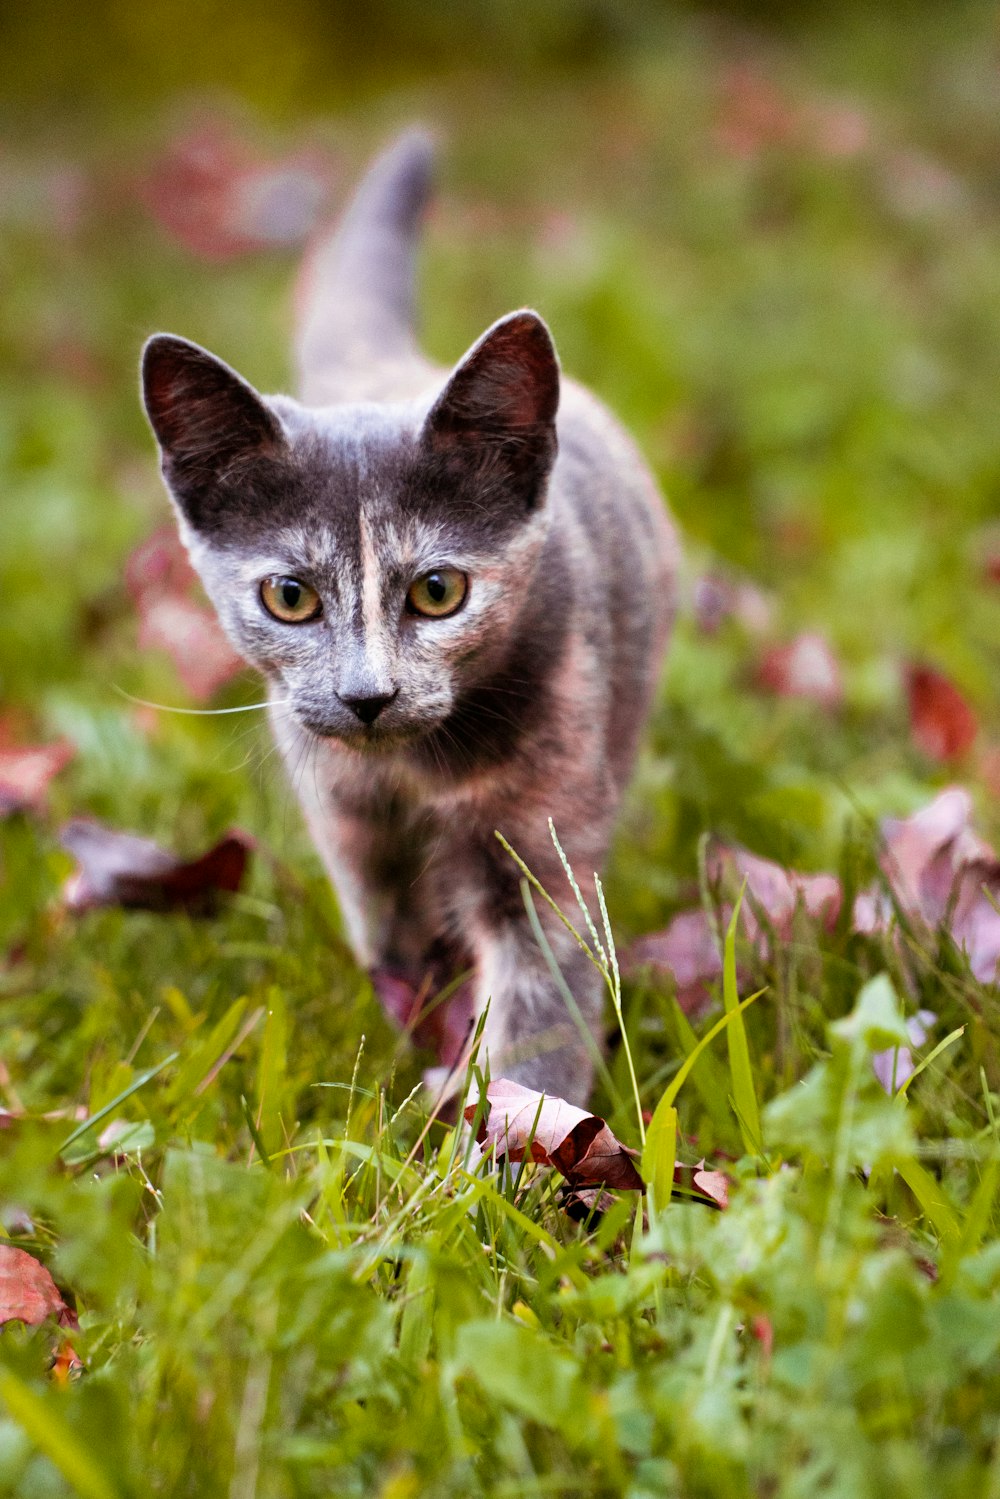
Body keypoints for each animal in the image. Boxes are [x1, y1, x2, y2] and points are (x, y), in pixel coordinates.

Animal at [140, 128, 680, 1109]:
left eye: (438, 591)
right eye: (290, 596)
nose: (368, 694)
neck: (414, 775)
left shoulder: (545, 837)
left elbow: (543, 1000)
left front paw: (515, 1133)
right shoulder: (348, 821)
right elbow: (392, 939)